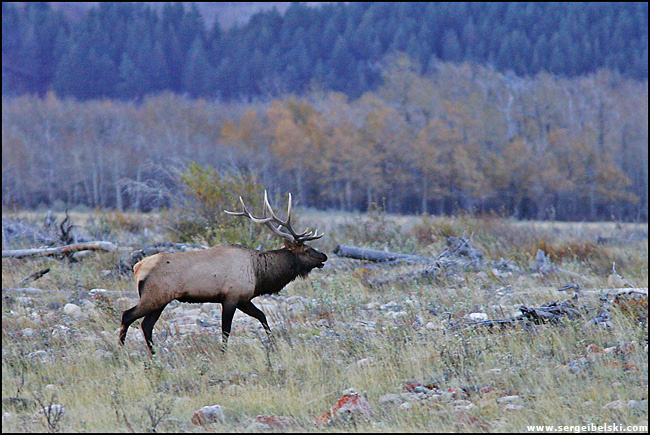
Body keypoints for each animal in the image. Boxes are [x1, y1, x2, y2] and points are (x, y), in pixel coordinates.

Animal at [118, 191, 327, 354]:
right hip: (155, 295)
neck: (259, 274)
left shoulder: (243, 298)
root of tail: (137, 267)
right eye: (307, 249)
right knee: (128, 315)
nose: (324, 256)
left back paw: (153, 354)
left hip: (161, 300)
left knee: (146, 324)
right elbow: (226, 330)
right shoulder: (231, 297)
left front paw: (273, 343)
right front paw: (223, 354)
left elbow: (262, 316)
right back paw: (120, 350)